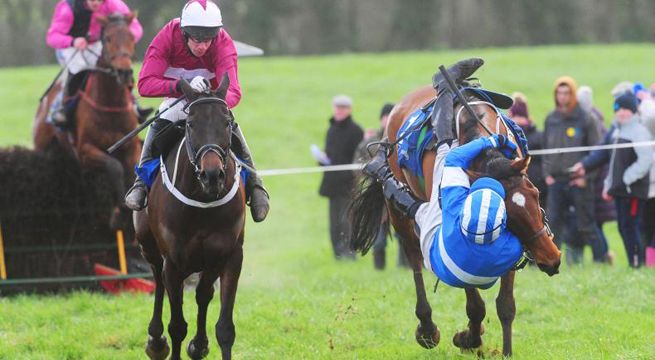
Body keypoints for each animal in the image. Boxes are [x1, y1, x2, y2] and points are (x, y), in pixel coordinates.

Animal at [32, 14, 140, 229]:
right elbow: (114, 167)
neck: (109, 104)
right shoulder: (84, 150)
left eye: (131, 37)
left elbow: (131, 170)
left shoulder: (132, 145)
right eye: (107, 38)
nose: (124, 73)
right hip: (42, 145)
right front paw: (120, 211)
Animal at [135, 74, 247, 360]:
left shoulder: (229, 255)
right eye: (191, 124)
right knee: (157, 280)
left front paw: (201, 343)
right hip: (148, 245)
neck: (202, 203)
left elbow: (224, 327)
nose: (212, 175)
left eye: (227, 122)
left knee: (203, 294)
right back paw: (156, 342)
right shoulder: (173, 262)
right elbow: (177, 326)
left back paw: (199, 345)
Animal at [352, 69, 560, 354]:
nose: (551, 258)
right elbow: (475, 304)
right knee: (414, 258)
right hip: (400, 215)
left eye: (536, 194)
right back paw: (427, 328)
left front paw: (502, 348)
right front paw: (469, 337)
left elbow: (505, 305)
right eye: (509, 216)